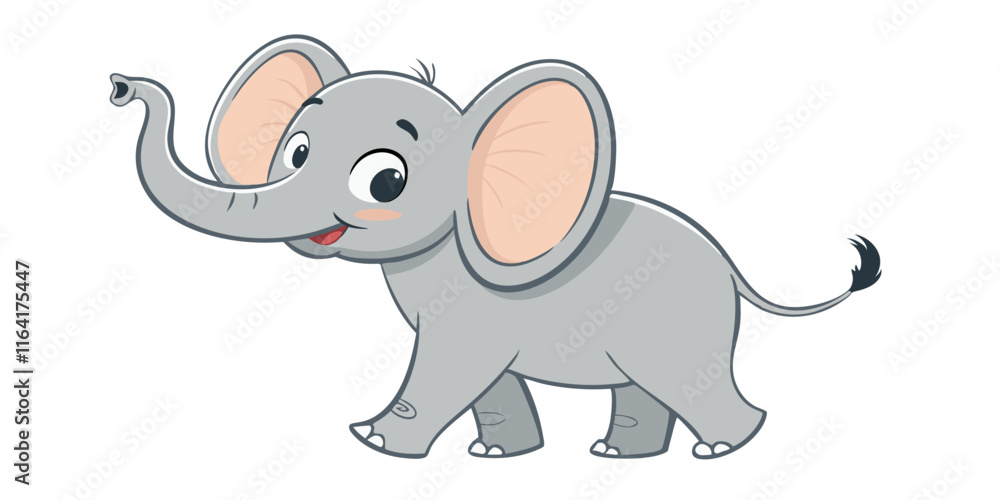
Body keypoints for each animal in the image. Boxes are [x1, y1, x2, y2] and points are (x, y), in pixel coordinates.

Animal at [109, 35, 881, 459]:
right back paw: (616, 454)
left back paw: (721, 449)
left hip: (683, 324)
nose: (120, 85)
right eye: (295, 151)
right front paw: (493, 453)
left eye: (385, 180)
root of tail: (728, 262)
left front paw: (373, 442)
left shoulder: (472, 311)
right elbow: (487, 381)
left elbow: (452, 367)